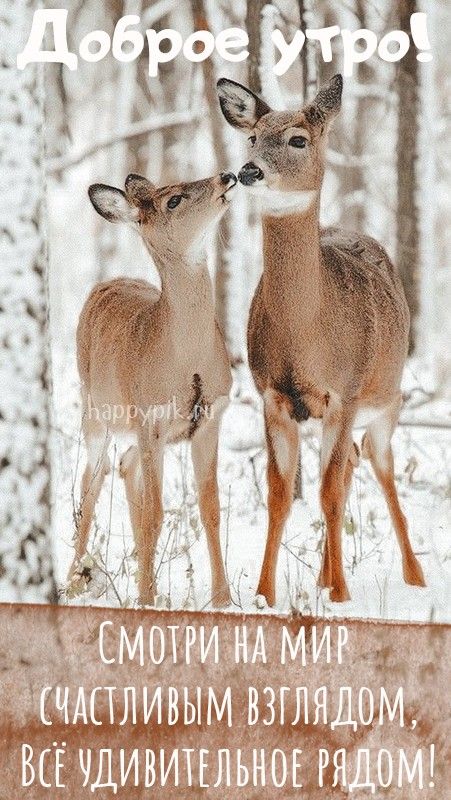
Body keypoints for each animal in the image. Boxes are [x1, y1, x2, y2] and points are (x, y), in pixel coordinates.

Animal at [69, 170, 237, 608]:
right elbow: (155, 513)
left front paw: (224, 599)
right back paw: (74, 580)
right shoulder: (152, 418)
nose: (227, 176)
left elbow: (210, 508)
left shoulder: (211, 417)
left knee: (124, 466)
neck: (186, 360)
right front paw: (145, 598)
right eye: (173, 200)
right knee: (91, 483)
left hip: (130, 429)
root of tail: (105, 283)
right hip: (95, 410)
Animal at [219, 76, 428, 608]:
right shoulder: (271, 394)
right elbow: (280, 493)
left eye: (298, 139)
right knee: (350, 461)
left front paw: (341, 596)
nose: (249, 170)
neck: (307, 333)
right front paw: (264, 595)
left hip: (388, 398)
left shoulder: (345, 391)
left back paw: (414, 576)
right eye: (252, 137)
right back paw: (321, 574)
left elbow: (330, 492)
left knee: (378, 464)